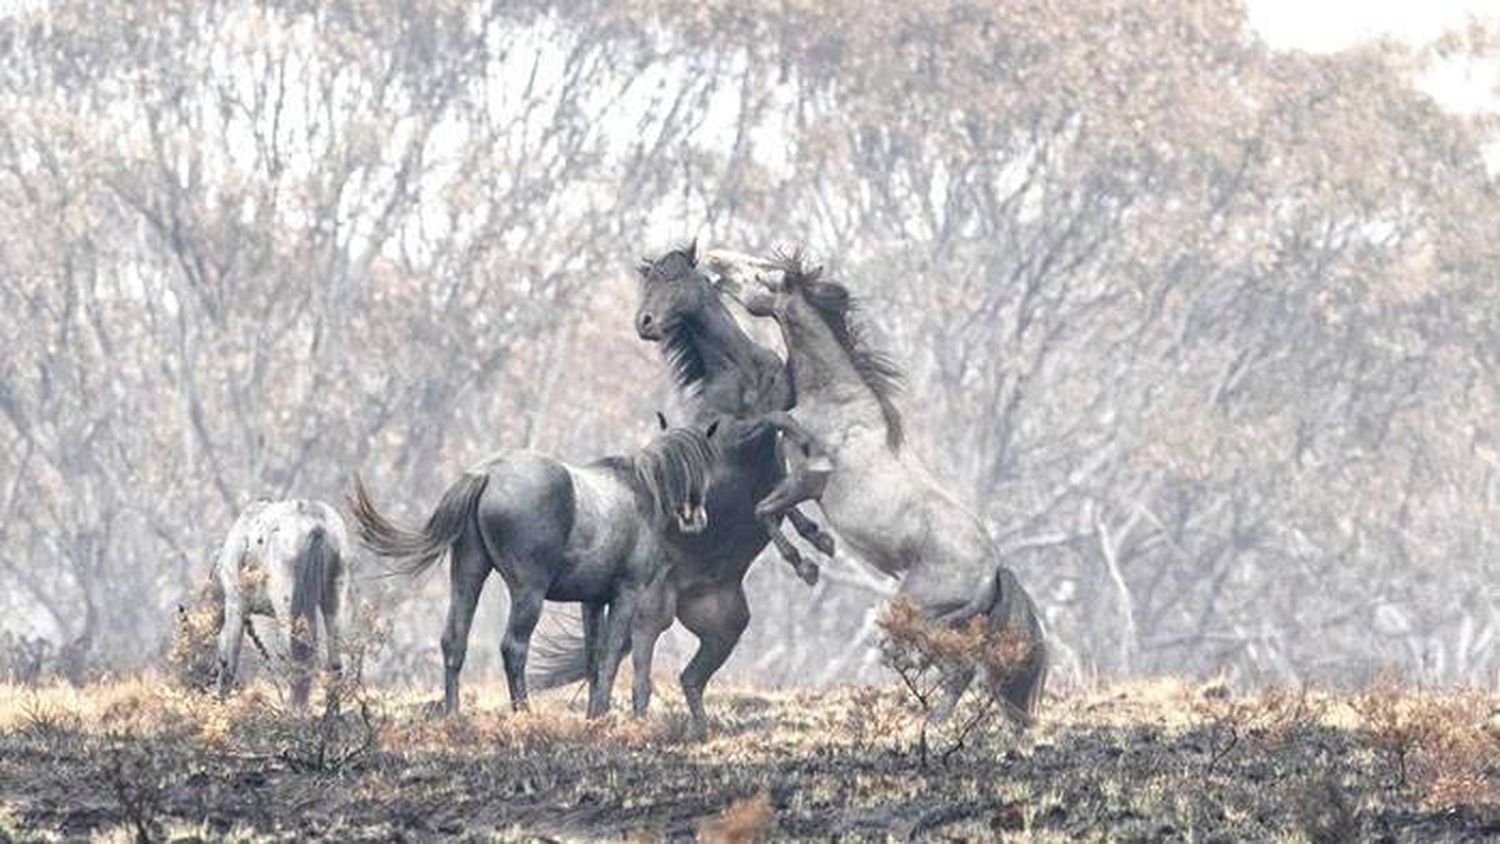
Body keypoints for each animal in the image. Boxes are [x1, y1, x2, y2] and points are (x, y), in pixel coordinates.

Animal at [354, 419, 723, 716]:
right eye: (706, 464)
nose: (696, 520)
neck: (641, 492)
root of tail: (487, 474)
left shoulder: (592, 602)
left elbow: (594, 658)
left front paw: (593, 716)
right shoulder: (625, 595)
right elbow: (610, 656)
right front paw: (601, 715)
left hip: (467, 575)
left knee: (454, 641)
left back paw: (453, 714)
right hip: (528, 592)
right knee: (514, 647)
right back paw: (524, 711)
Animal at [528, 241, 840, 737]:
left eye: (674, 279)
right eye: (648, 281)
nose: (645, 323)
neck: (741, 371)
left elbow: (778, 491)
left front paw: (816, 540)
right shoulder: (731, 439)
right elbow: (773, 435)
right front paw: (804, 558)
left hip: (725, 627)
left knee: (687, 678)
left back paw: (695, 733)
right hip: (649, 615)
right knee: (632, 670)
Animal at [705, 247, 1050, 722]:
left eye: (762, 273)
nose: (714, 260)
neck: (836, 402)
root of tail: (994, 569)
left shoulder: (807, 480)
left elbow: (765, 510)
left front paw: (808, 564)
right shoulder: (798, 482)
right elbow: (775, 508)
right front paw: (818, 541)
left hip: (919, 612)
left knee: (956, 666)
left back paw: (930, 720)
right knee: (961, 670)